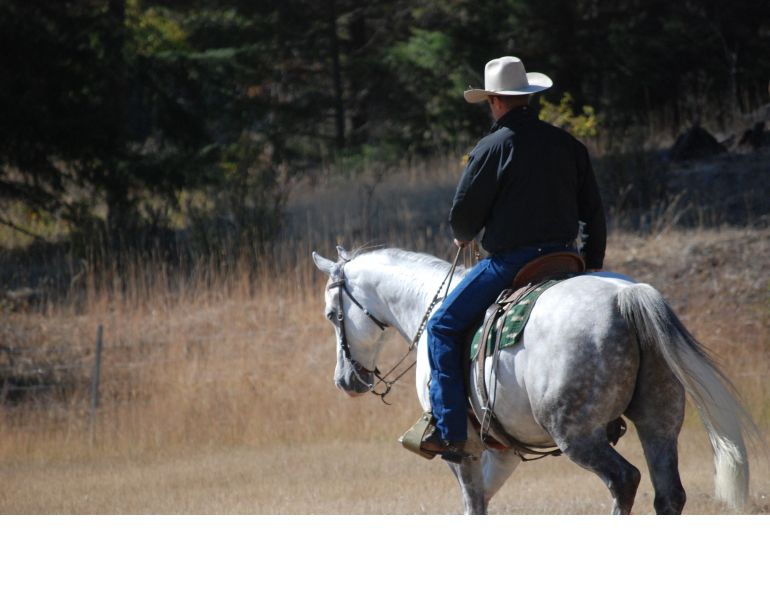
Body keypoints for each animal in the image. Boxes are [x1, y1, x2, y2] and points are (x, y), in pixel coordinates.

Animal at [312, 245, 752, 514]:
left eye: (332, 315)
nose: (345, 380)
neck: (429, 306)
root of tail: (626, 297)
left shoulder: (464, 450)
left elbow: (473, 505)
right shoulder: (504, 450)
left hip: (577, 435)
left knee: (624, 480)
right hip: (659, 422)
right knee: (668, 495)